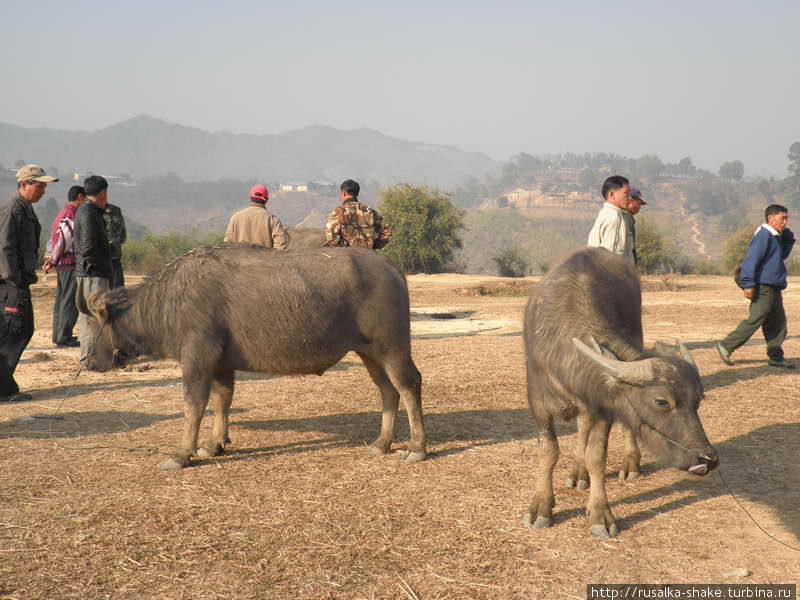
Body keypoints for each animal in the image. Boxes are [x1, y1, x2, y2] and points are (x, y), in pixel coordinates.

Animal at [84, 243, 428, 468]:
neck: (170, 299)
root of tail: (392, 268)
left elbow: (193, 406)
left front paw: (182, 453)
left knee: (408, 384)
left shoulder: (197, 359)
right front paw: (214, 444)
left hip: (391, 347)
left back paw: (417, 447)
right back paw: (382, 443)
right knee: (387, 390)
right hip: (369, 351)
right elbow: (222, 401)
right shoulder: (221, 365)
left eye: (89, 322)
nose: (86, 362)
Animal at [520, 246, 716, 536]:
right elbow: (549, 451)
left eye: (698, 401)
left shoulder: (604, 408)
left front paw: (600, 514)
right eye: (661, 401)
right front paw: (541, 508)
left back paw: (628, 464)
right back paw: (577, 473)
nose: (708, 458)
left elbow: (597, 457)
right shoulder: (539, 403)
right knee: (582, 427)